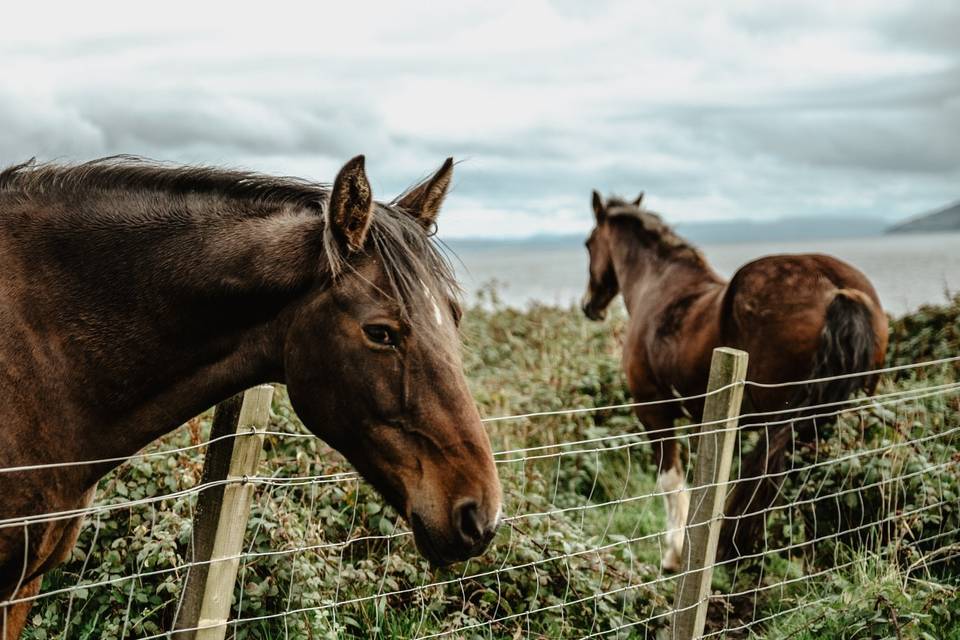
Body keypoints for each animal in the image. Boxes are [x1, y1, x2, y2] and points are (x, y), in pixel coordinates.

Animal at [576, 192, 884, 572]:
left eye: (588, 243)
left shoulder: (653, 411)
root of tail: (837, 288)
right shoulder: (703, 419)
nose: (589, 305)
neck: (658, 286)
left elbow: (670, 481)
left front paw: (674, 553)